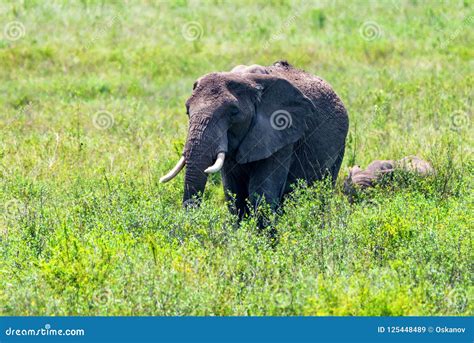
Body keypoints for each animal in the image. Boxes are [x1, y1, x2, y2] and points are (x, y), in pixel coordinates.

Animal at [161, 61, 350, 218]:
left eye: (234, 112)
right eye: (187, 110)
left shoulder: (282, 135)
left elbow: (261, 193)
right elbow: (234, 193)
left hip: (340, 146)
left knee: (323, 192)